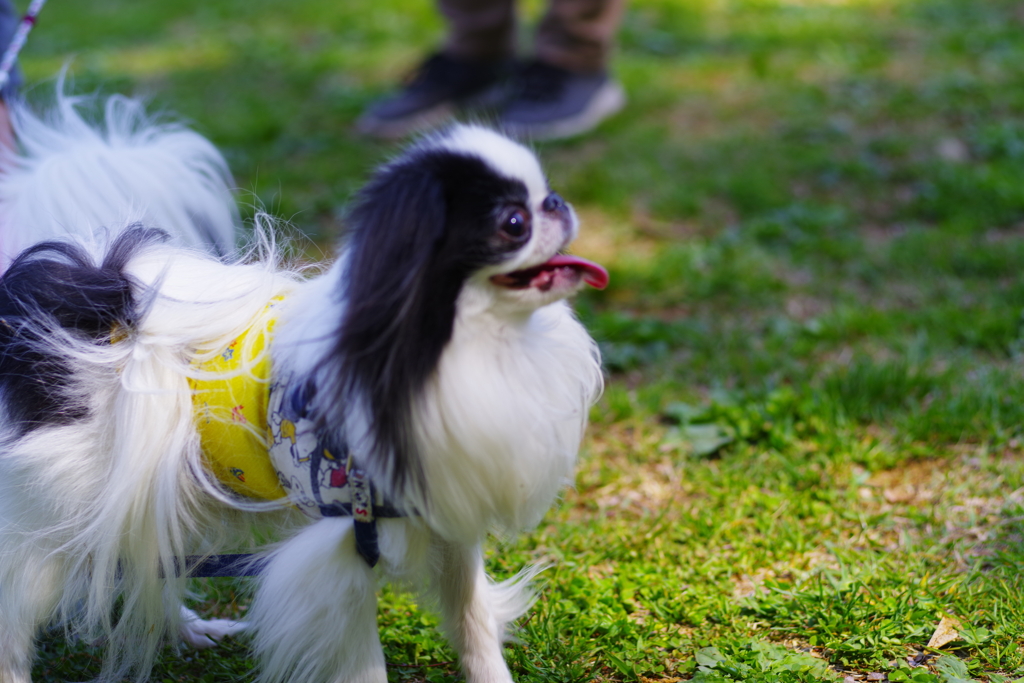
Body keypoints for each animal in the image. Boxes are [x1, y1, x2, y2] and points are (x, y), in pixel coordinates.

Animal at [0, 92, 606, 683]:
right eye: (512, 222)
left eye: (546, 194)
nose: (558, 204)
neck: (477, 343)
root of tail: (99, 303)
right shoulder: (344, 554)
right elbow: (365, 666)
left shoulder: (449, 520)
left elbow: (473, 624)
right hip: (62, 516)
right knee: (20, 610)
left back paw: (190, 629)